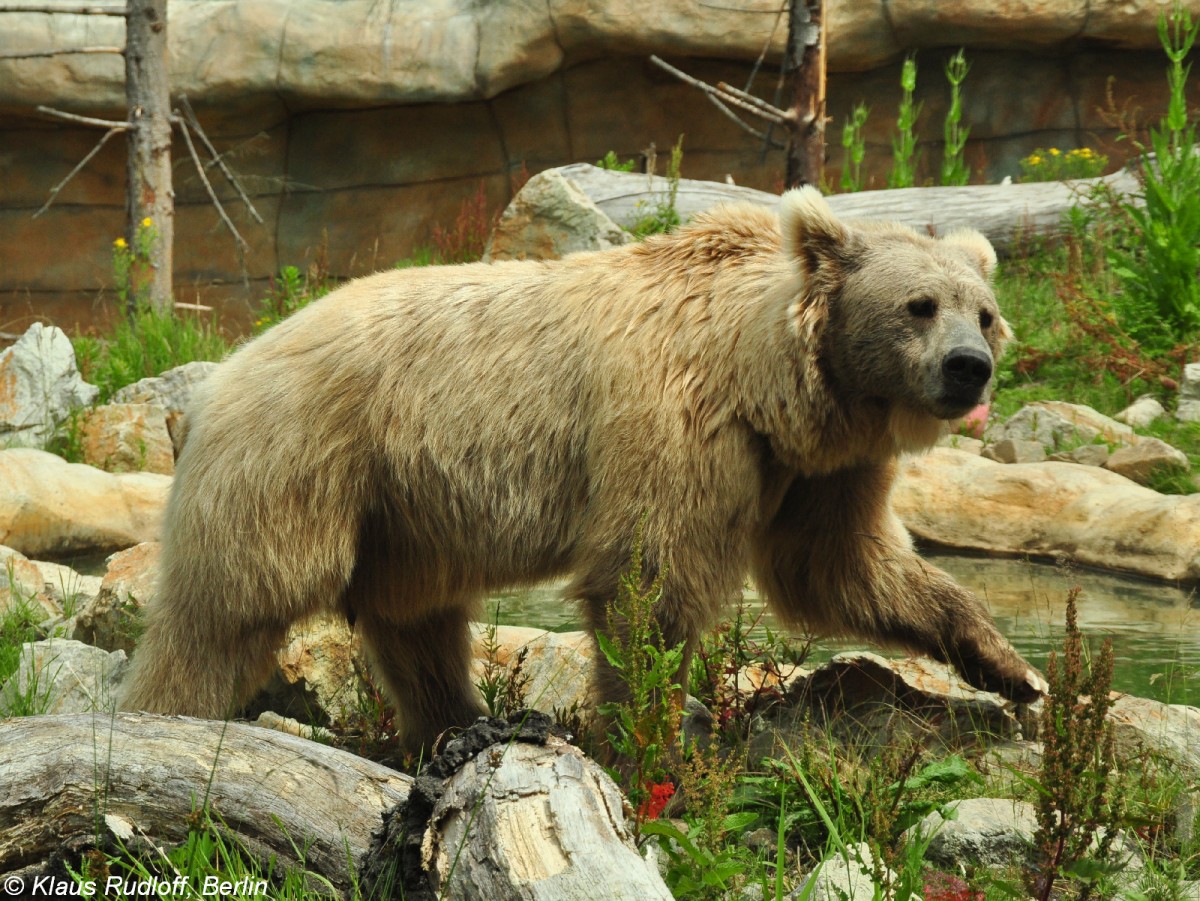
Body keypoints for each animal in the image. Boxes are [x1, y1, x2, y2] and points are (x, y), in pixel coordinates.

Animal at [117, 184, 1046, 748]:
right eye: (918, 305)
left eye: (983, 311)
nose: (969, 367)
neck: (769, 381)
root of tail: (213, 384)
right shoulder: (677, 429)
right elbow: (650, 582)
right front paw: (652, 732)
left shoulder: (819, 468)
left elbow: (839, 566)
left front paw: (1013, 667)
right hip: (298, 461)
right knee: (230, 606)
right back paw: (162, 722)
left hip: (402, 510)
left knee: (416, 621)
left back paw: (460, 721)